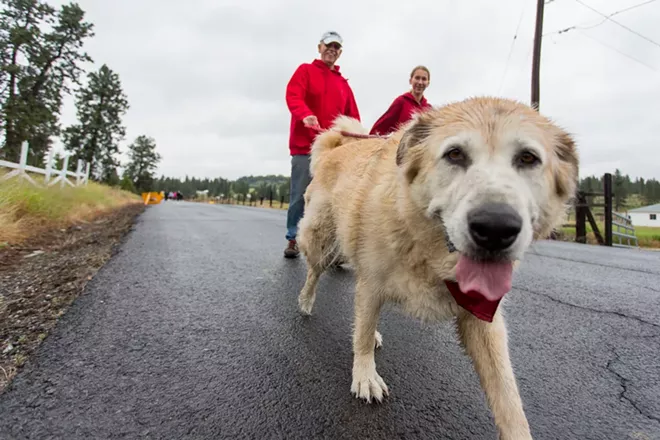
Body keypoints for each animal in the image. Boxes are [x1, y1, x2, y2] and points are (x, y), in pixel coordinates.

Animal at [294, 97, 576, 440]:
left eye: (527, 158)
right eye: (454, 154)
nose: (495, 228)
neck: (431, 252)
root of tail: (337, 147)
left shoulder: (482, 314)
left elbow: (506, 392)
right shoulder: (372, 283)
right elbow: (361, 333)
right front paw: (365, 375)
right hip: (321, 241)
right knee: (315, 273)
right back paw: (306, 301)